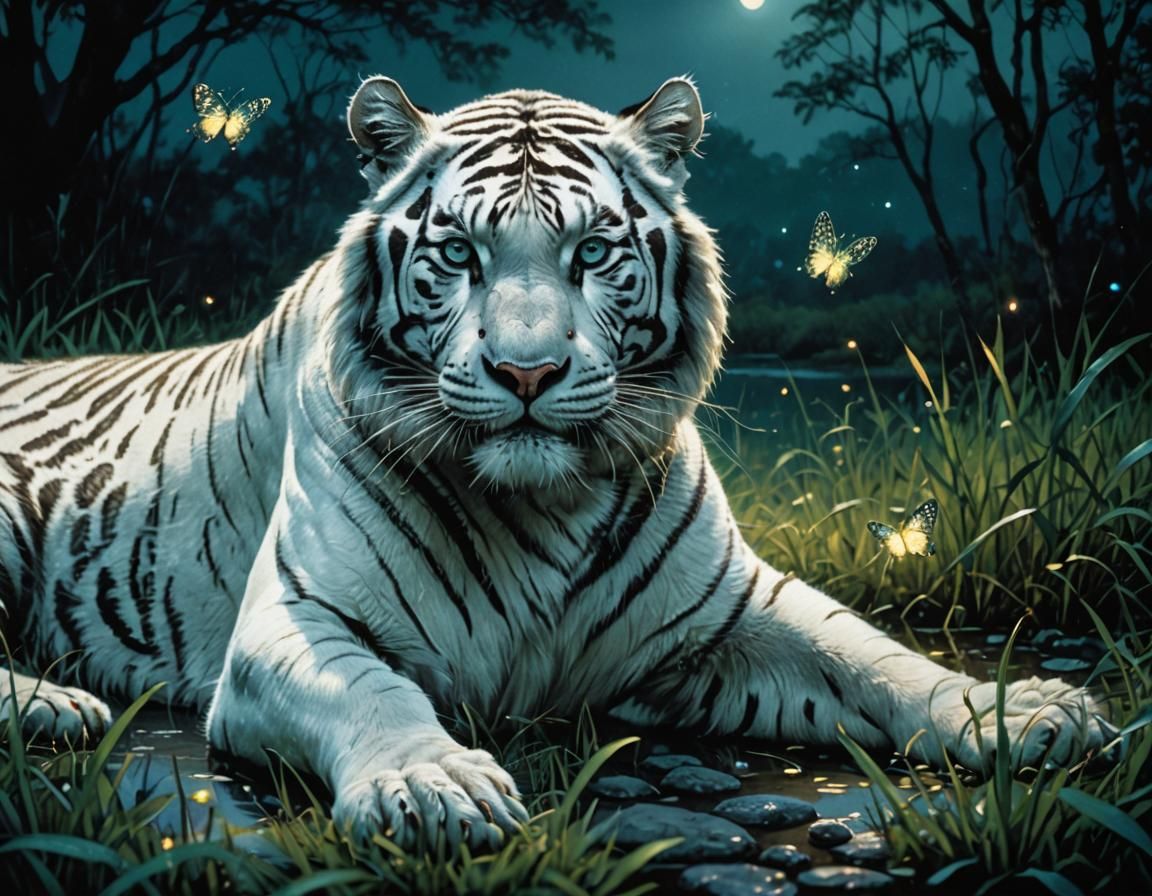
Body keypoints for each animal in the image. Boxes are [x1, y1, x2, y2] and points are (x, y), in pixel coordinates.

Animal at [0, 76, 1112, 848]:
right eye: (458, 255)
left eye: (592, 253)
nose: (526, 370)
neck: (542, 506)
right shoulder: (294, 622)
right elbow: (374, 690)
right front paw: (433, 782)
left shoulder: (728, 615)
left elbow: (871, 653)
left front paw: (1024, 709)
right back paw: (59, 704)